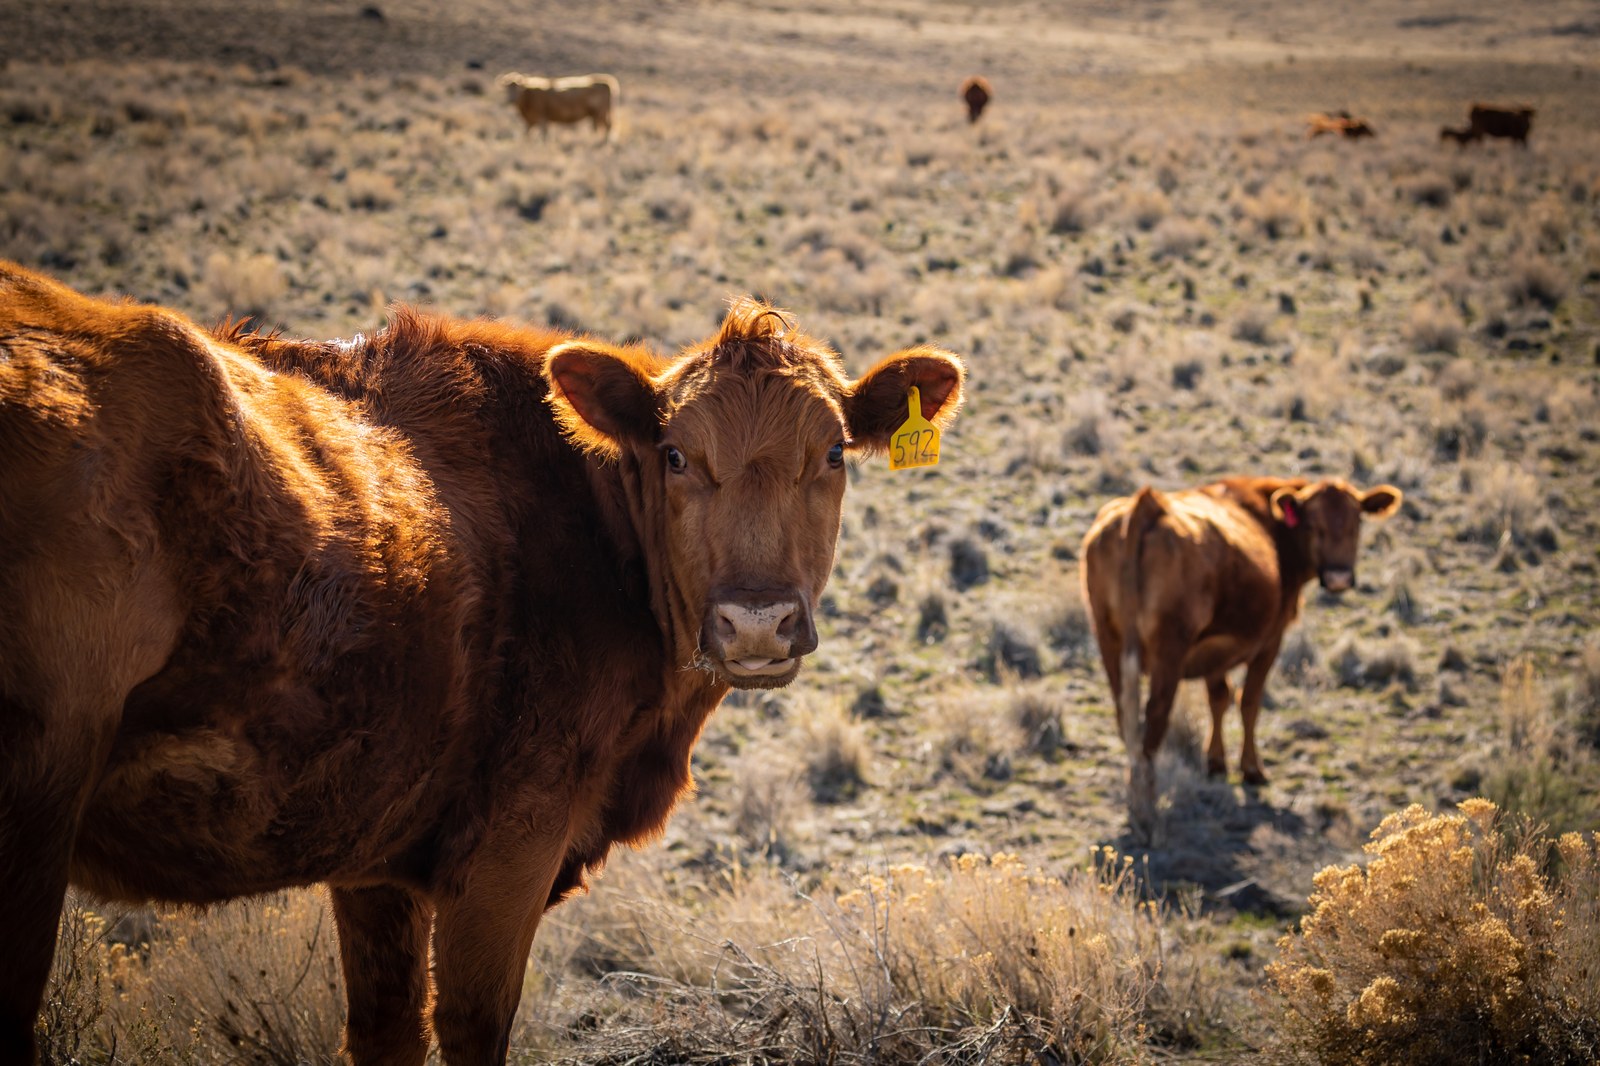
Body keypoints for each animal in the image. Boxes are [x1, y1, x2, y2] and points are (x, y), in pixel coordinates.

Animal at [0, 261, 964, 1065]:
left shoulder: (373, 852)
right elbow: (471, 1024)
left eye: (833, 454)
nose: (756, 621)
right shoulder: (509, 849)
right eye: (677, 456)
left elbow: (386, 1031)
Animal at [1080, 477, 1401, 841]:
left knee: (1126, 718)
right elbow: (1249, 702)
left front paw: (1216, 763)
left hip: (1109, 642)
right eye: (1313, 525)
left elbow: (1218, 698)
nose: (1338, 578)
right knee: (1155, 720)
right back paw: (1146, 811)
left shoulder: (1212, 650)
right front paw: (1251, 769)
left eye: (1356, 522)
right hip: (1169, 651)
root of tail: (1147, 504)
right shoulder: (1269, 641)